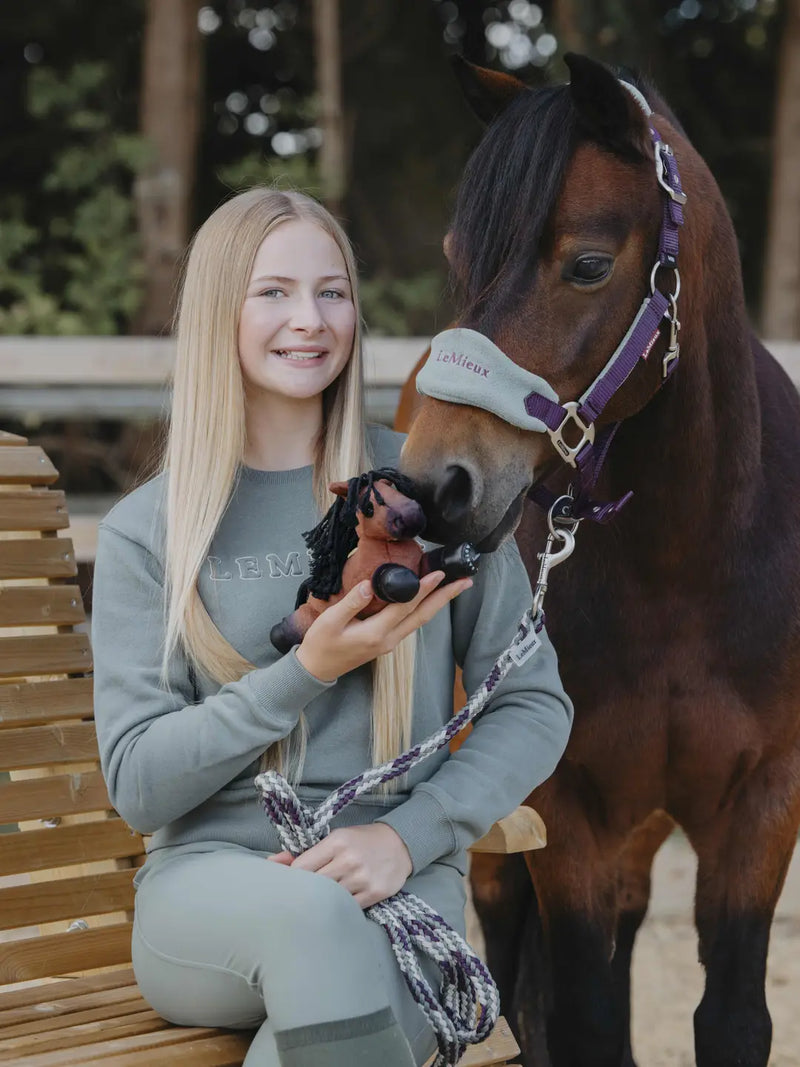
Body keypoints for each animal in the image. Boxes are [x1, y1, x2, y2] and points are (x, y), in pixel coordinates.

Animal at [396, 54, 800, 1067]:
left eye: (585, 264)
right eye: (460, 257)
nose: (433, 485)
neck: (686, 564)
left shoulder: (762, 806)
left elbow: (731, 1018)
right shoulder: (566, 810)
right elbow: (580, 1019)